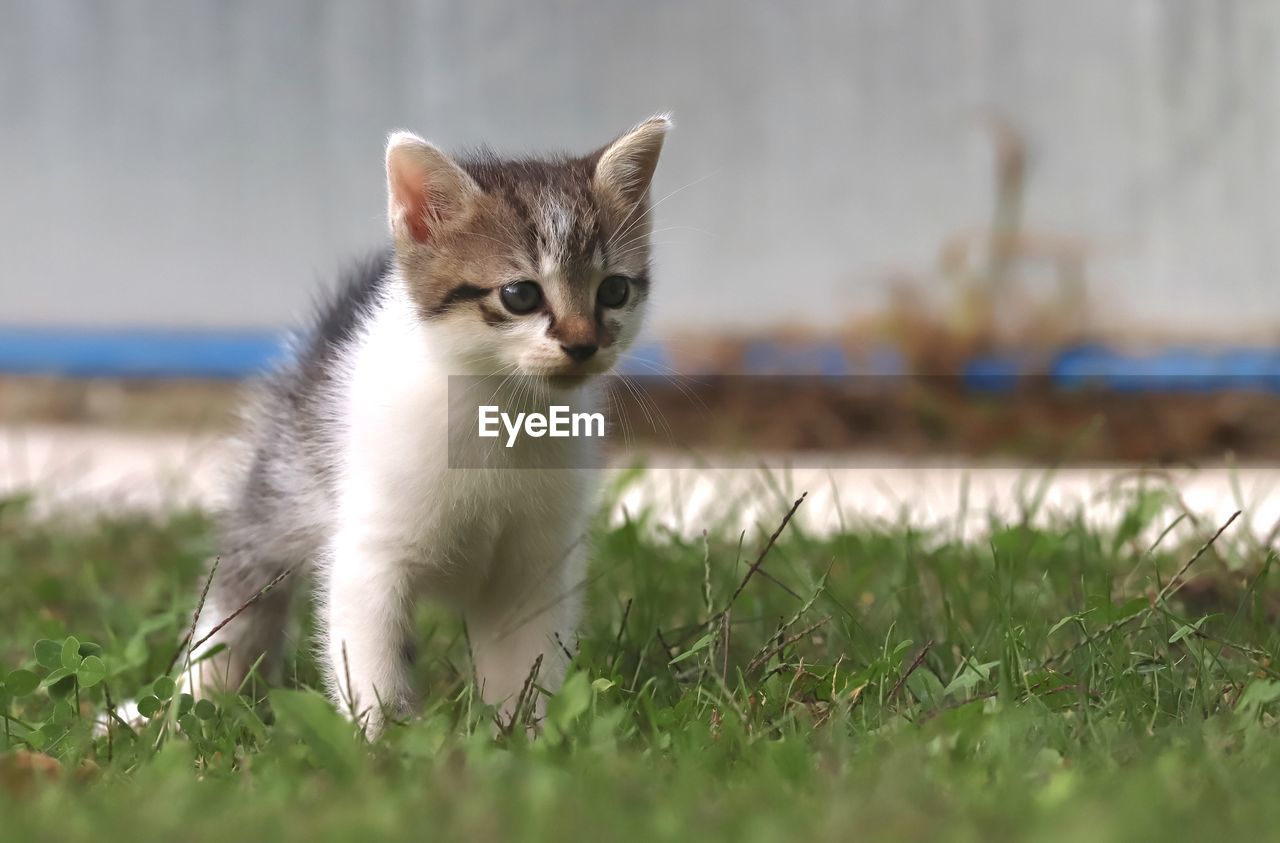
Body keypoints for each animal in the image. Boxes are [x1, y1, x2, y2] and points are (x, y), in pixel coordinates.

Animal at [192, 115, 670, 736]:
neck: (501, 415)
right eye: (520, 295)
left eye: (614, 290)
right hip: (287, 475)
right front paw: (382, 743)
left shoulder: (533, 567)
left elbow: (525, 662)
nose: (583, 344)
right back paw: (183, 703)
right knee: (240, 591)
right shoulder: (369, 555)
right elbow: (368, 661)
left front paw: (525, 735)